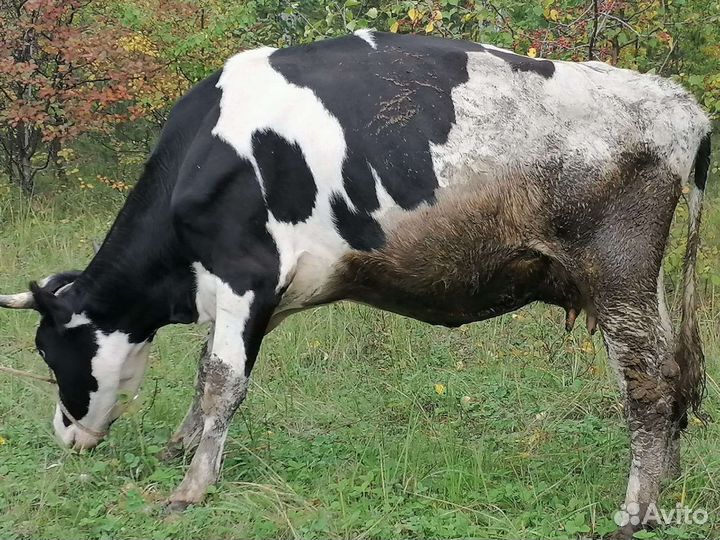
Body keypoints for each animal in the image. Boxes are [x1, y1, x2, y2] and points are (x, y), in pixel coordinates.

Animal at [0, 31, 711, 537]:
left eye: (46, 349)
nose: (64, 433)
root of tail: (680, 105)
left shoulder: (245, 276)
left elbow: (224, 383)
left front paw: (190, 488)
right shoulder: (261, 299)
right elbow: (207, 372)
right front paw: (183, 445)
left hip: (615, 269)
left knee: (648, 383)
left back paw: (637, 509)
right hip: (637, 283)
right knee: (672, 373)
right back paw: (668, 484)